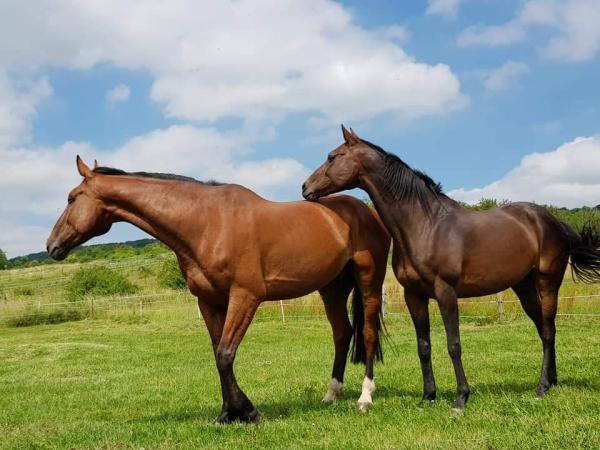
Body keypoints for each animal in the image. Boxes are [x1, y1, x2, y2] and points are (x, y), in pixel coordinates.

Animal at [45, 156, 390, 424]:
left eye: (71, 198)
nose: (51, 246)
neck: (206, 223)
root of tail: (364, 210)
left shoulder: (245, 297)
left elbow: (225, 354)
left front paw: (248, 412)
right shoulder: (209, 301)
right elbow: (219, 354)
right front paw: (229, 413)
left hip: (369, 281)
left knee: (367, 332)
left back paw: (365, 398)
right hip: (332, 288)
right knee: (342, 333)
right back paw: (332, 394)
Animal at [304, 125, 600, 412]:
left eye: (332, 156)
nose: (305, 187)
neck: (425, 226)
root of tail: (553, 221)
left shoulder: (446, 293)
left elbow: (453, 344)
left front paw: (460, 398)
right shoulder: (414, 296)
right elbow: (424, 346)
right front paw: (428, 397)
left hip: (548, 283)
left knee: (548, 330)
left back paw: (541, 387)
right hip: (524, 286)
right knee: (543, 328)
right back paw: (551, 381)